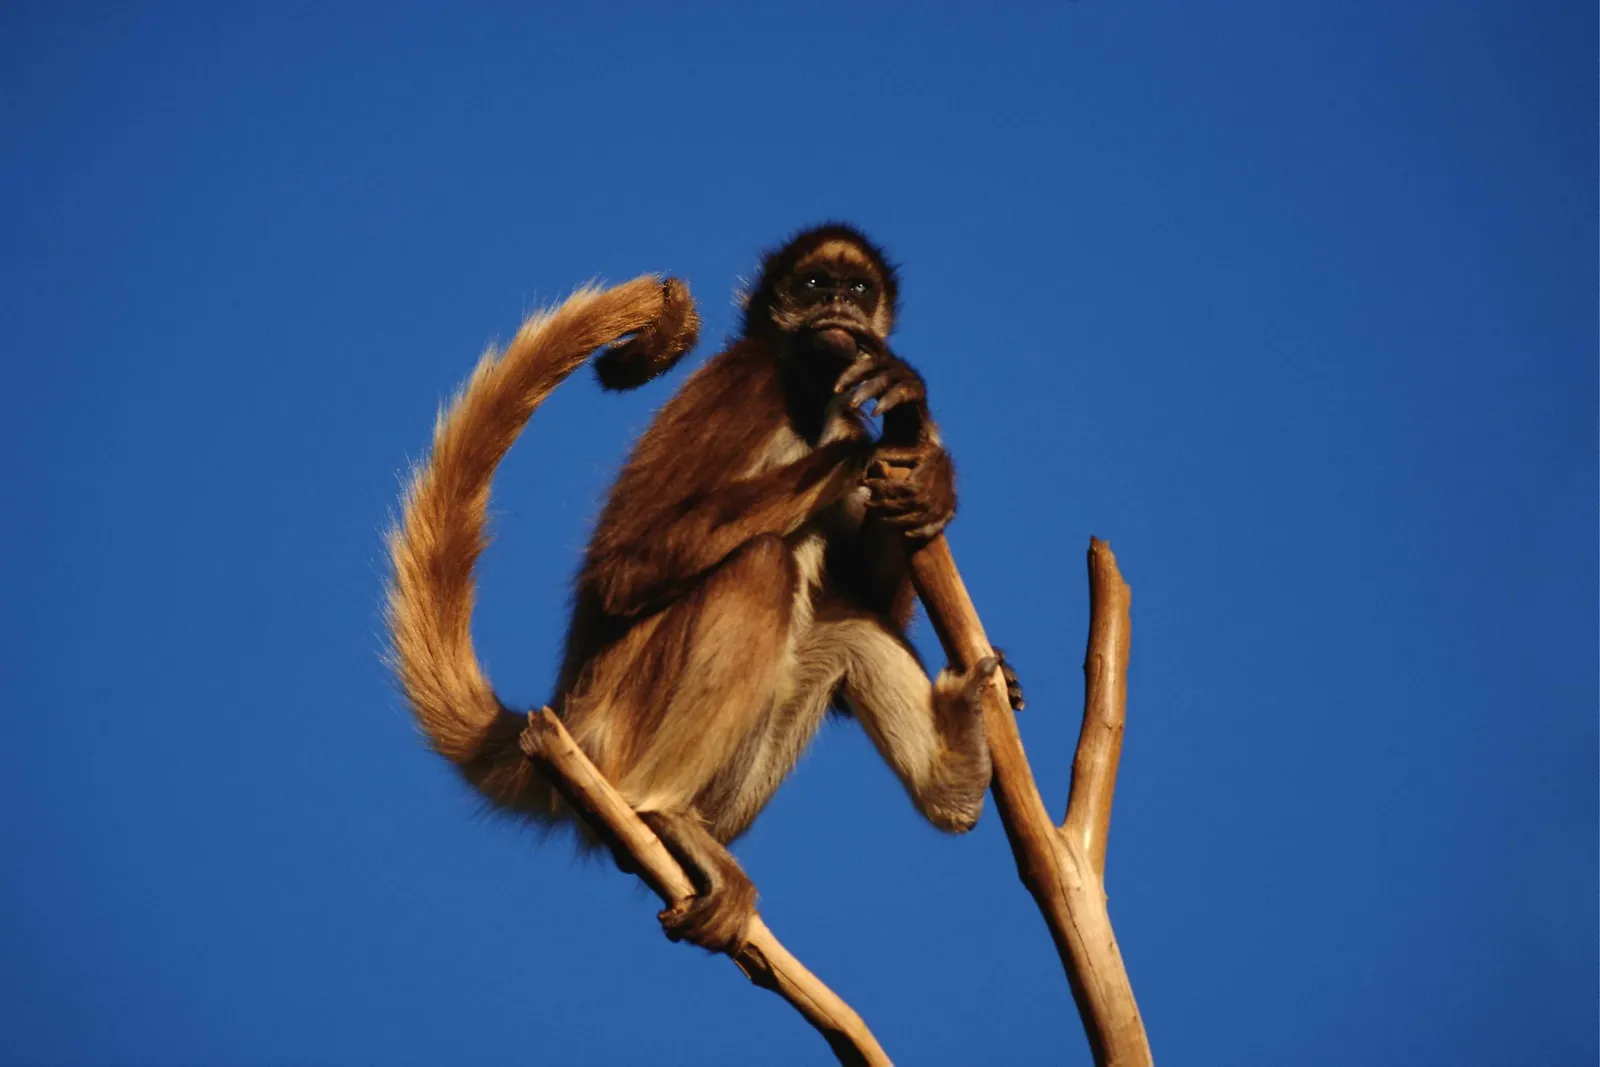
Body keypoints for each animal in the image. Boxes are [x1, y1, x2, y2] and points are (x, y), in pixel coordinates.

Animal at [387, 224, 1023, 956]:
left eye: (857, 289)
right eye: (813, 285)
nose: (837, 304)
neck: (805, 397)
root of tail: (572, 713)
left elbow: (869, 596)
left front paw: (927, 463)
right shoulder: (746, 383)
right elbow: (623, 568)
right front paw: (869, 452)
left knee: (847, 622)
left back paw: (958, 775)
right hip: (627, 718)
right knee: (762, 563)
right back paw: (664, 816)